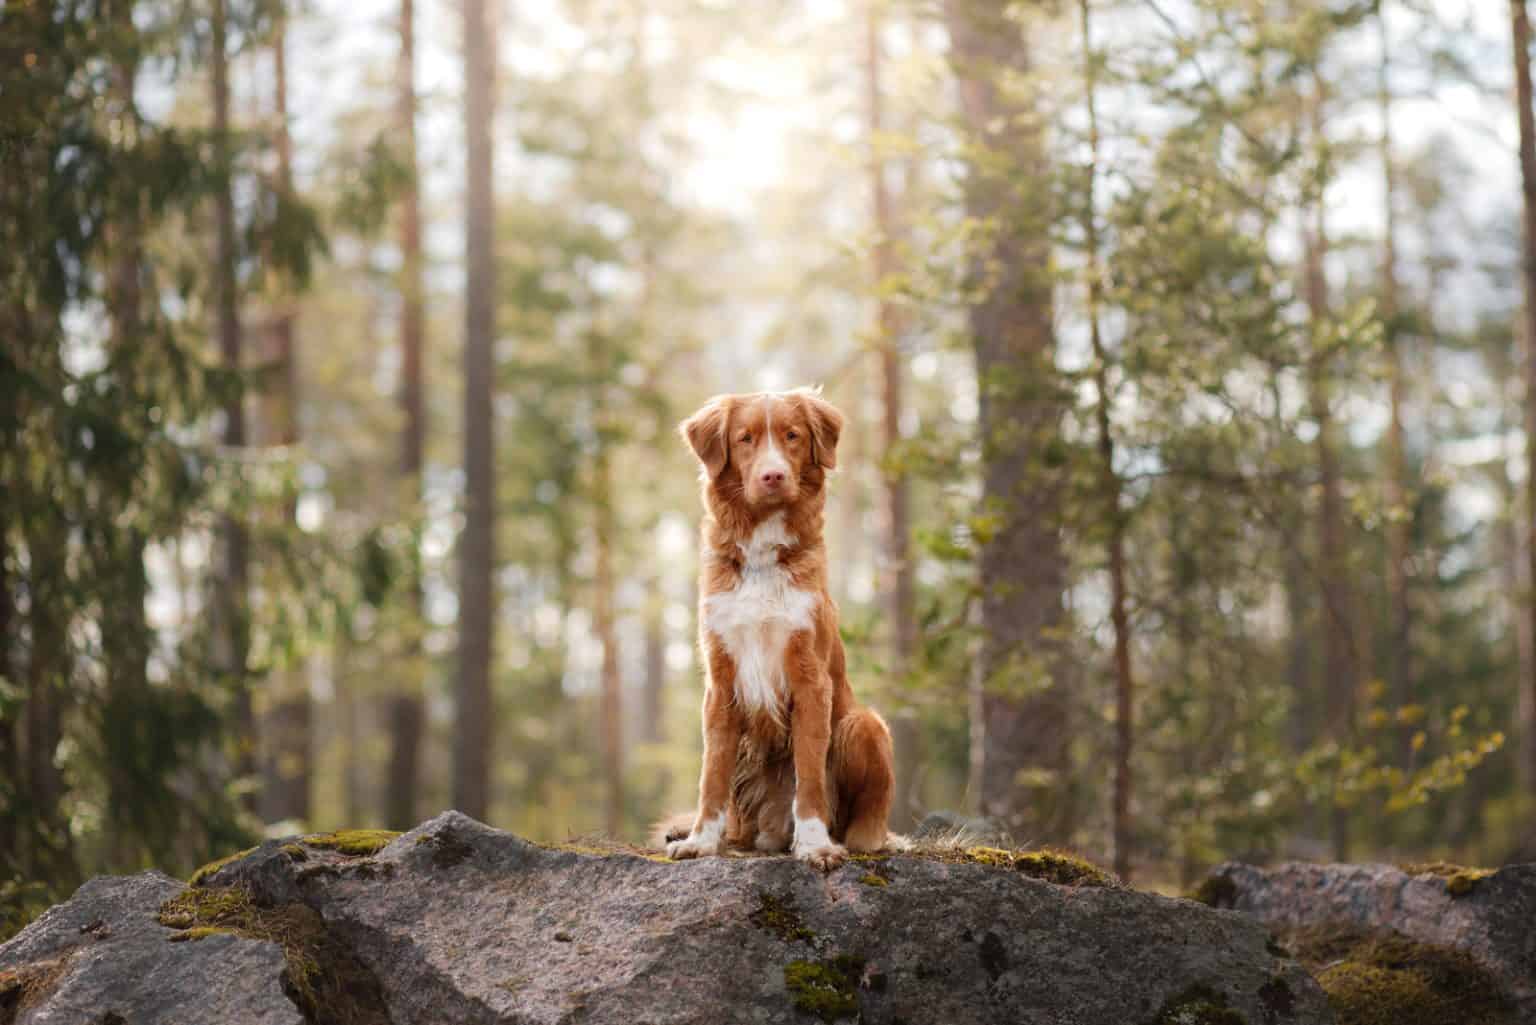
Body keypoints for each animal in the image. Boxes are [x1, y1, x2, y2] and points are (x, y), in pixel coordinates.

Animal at [663, 388, 897, 872]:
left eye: (792, 436)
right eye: (745, 438)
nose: (773, 476)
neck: (761, 555)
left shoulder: (810, 677)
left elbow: (809, 775)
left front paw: (815, 845)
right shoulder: (721, 680)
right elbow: (711, 775)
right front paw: (700, 841)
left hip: (863, 724)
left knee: (865, 822)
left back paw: (863, 840)